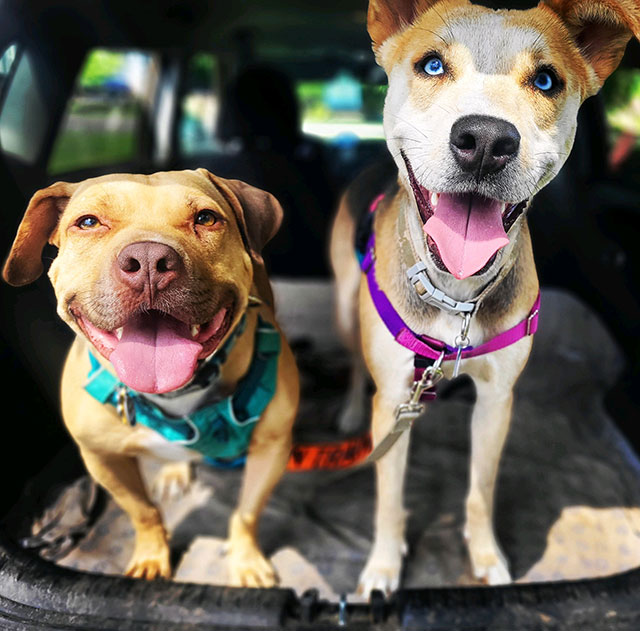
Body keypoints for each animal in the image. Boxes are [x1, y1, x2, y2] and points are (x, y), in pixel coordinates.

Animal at [3, 169, 298, 588]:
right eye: (88, 222)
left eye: (206, 218)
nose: (147, 260)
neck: (175, 396)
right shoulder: (102, 458)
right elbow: (142, 512)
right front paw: (151, 557)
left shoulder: (271, 450)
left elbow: (246, 514)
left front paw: (246, 562)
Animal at [330, 0, 640, 592]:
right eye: (431, 65)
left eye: (546, 81)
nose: (486, 143)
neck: (456, 294)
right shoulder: (395, 396)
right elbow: (389, 499)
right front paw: (381, 568)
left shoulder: (498, 400)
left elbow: (481, 490)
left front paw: (487, 556)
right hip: (345, 303)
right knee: (356, 365)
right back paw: (350, 411)